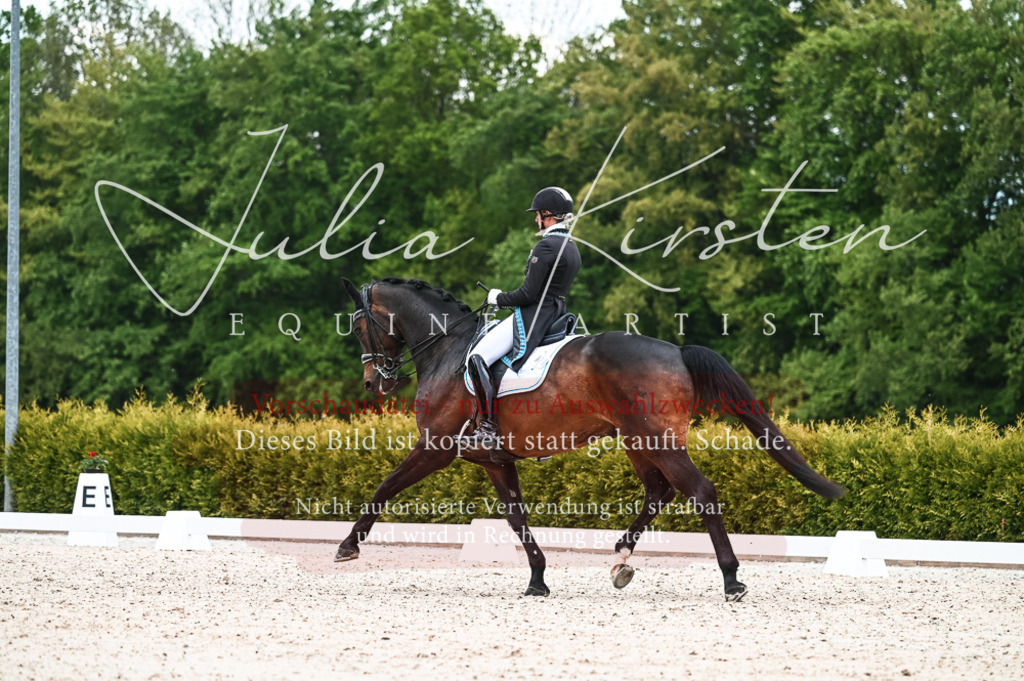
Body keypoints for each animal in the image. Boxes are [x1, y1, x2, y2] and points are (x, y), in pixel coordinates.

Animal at [334, 277, 845, 601]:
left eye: (359, 326)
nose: (374, 382)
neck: (449, 349)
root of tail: (677, 350)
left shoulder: (435, 448)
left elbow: (385, 486)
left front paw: (348, 546)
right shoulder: (497, 461)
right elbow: (517, 518)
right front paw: (537, 580)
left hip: (658, 442)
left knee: (700, 492)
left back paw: (731, 580)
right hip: (637, 442)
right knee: (658, 492)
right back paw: (621, 559)